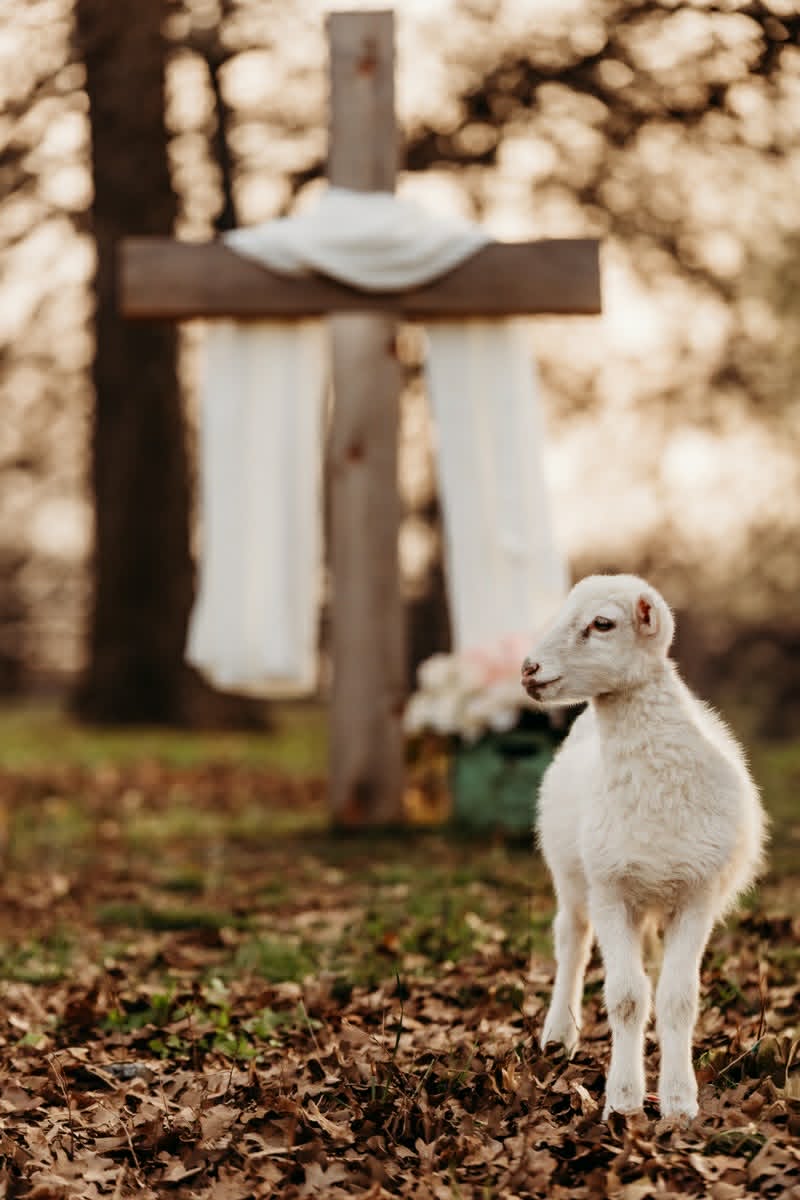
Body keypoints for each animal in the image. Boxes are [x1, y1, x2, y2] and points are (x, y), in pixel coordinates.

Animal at [521, 574, 766, 1122]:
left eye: (602, 623)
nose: (527, 669)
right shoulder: (612, 891)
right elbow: (628, 997)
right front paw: (625, 1100)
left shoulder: (697, 895)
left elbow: (677, 998)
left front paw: (678, 1101)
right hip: (573, 876)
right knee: (571, 940)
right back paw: (558, 1035)